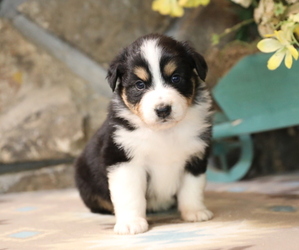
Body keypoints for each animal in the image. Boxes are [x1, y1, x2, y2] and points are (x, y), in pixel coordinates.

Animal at [75, 34, 213, 235]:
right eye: (140, 85)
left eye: (176, 78)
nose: (163, 110)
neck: (164, 133)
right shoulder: (124, 160)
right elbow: (130, 195)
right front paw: (131, 223)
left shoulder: (195, 156)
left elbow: (192, 189)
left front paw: (195, 212)